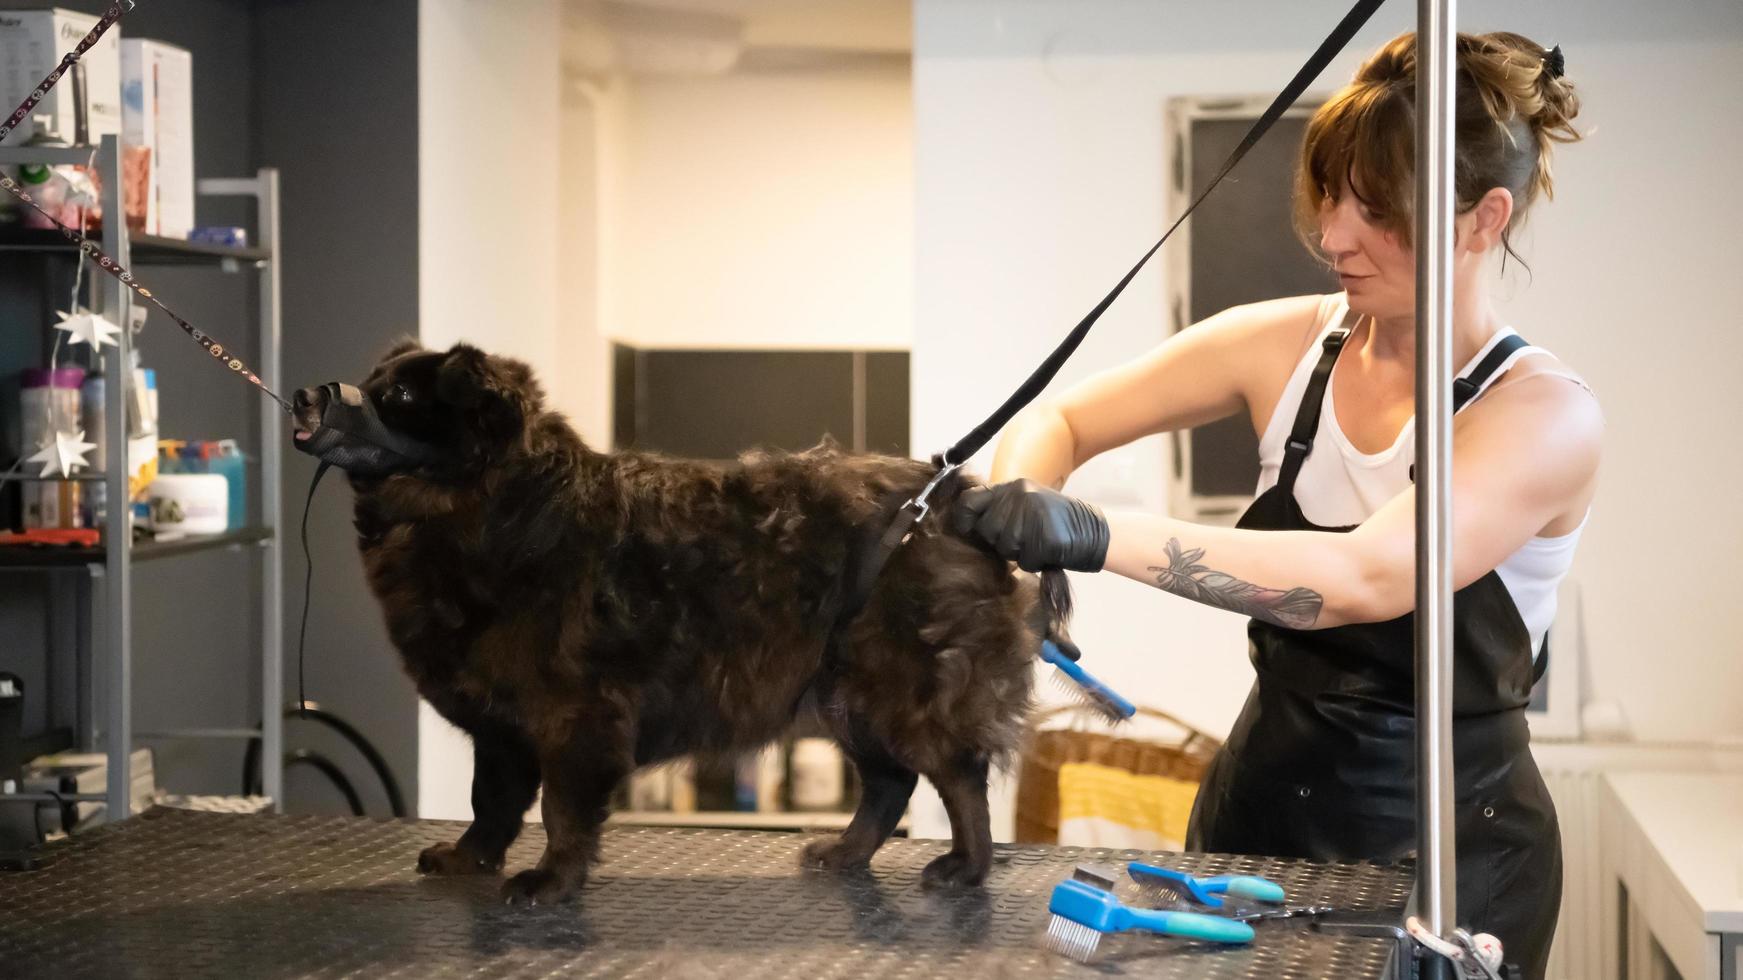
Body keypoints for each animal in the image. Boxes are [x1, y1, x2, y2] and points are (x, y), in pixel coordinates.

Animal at [296, 341, 1059, 899]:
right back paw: (846, 852)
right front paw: (471, 859)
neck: (500, 508)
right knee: (889, 783)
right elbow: (492, 802)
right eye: (371, 379)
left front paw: (552, 879)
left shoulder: (574, 717)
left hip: (904, 694)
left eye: (399, 397)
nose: (306, 393)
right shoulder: (502, 725)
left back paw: (966, 866)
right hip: (850, 701)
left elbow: (561, 810)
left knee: (959, 779)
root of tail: (958, 499)